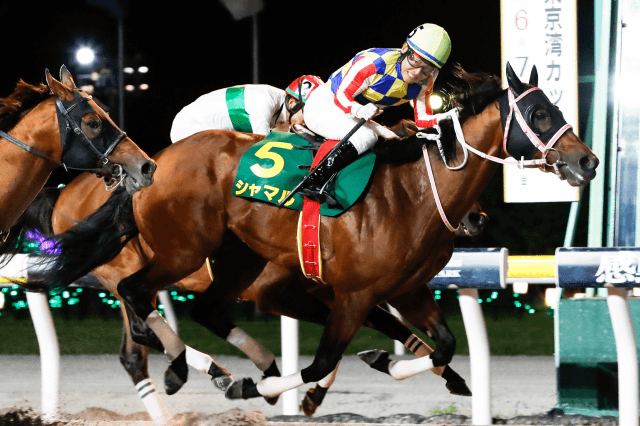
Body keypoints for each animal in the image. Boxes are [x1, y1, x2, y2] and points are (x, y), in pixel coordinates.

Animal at [29, 63, 598, 400]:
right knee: (135, 295)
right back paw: (195, 366)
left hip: (237, 257)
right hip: (181, 252)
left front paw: (416, 368)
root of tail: (150, 165)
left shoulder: (405, 290)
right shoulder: (350, 293)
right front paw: (277, 388)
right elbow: (324, 358)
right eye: (539, 112)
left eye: (556, 107)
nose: (587, 161)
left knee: (200, 310)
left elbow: (440, 344)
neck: (415, 191)